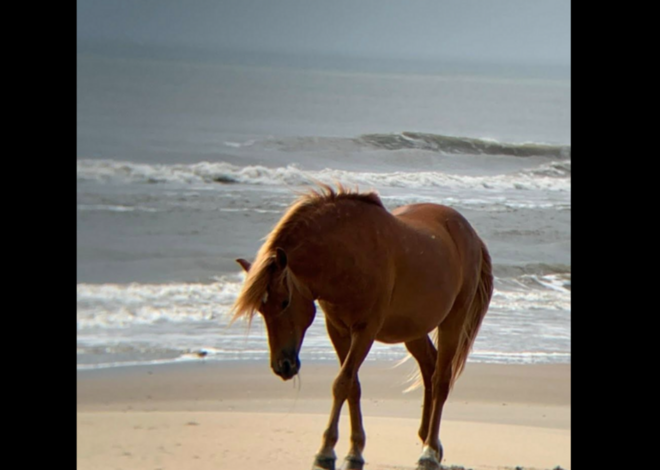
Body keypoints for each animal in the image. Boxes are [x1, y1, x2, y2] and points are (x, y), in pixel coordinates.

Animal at [231, 184, 493, 470]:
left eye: (284, 301)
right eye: (261, 309)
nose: (283, 366)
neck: (346, 255)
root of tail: (469, 233)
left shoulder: (365, 331)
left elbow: (342, 383)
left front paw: (326, 451)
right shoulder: (338, 331)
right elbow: (352, 386)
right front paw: (354, 450)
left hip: (453, 321)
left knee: (441, 379)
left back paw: (429, 451)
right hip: (413, 329)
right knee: (429, 367)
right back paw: (428, 439)